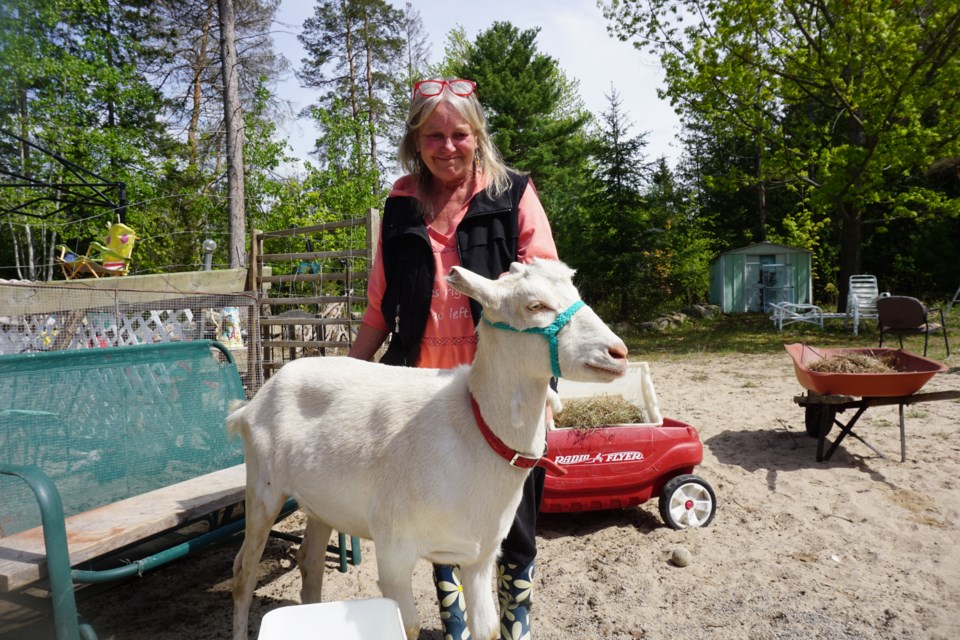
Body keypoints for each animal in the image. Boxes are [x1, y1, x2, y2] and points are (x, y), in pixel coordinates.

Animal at [228, 260, 628, 640]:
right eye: (535, 305)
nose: (618, 353)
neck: (473, 434)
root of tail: (250, 404)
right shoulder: (393, 551)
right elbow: (409, 626)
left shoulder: (480, 555)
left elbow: (487, 628)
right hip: (262, 489)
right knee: (243, 573)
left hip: (324, 504)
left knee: (309, 563)